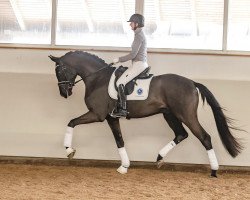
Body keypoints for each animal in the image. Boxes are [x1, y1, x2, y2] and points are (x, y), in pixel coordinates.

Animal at [48, 50, 242, 177]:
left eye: (59, 70)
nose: (64, 93)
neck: (97, 79)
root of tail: (192, 83)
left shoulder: (97, 114)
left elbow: (71, 122)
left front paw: (69, 150)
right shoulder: (111, 118)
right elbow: (119, 140)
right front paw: (124, 167)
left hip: (186, 115)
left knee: (204, 137)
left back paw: (214, 171)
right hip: (169, 114)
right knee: (181, 134)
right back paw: (159, 158)